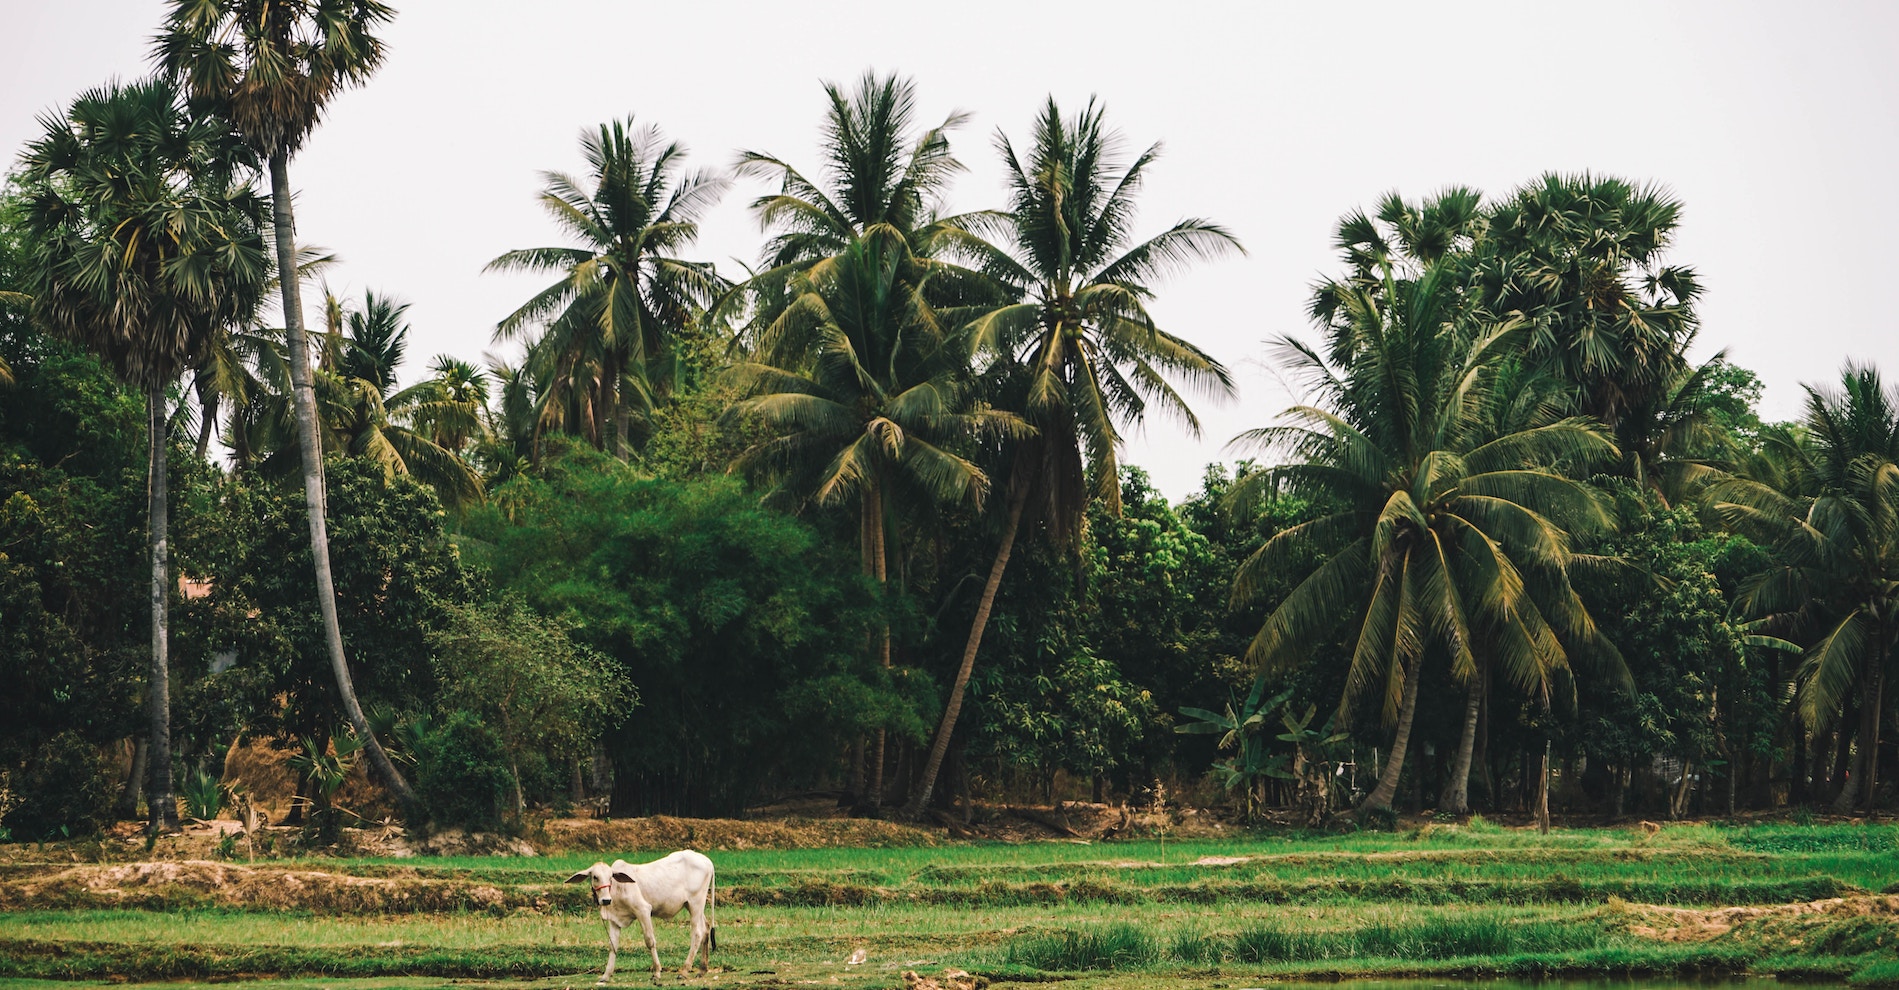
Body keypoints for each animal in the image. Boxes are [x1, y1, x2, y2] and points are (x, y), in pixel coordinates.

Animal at [565, 847, 714, 980]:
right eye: (595, 877)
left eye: (611, 877)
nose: (606, 900)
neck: (617, 888)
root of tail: (707, 861)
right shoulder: (614, 920)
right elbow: (613, 945)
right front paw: (606, 976)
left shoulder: (643, 910)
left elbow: (650, 941)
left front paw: (656, 972)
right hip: (693, 906)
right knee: (706, 927)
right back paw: (702, 970)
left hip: (695, 904)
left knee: (697, 933)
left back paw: (684, 971)